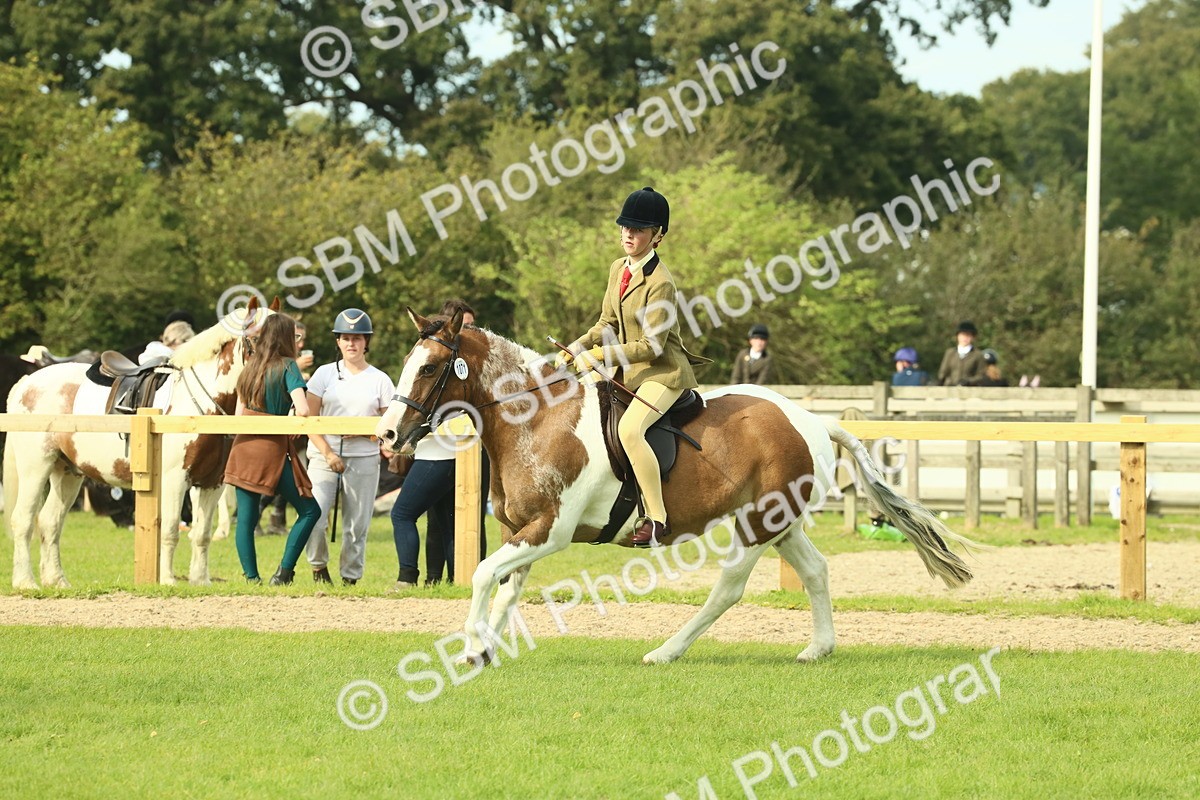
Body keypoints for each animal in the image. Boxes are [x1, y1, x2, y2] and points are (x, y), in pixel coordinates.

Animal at [4, 300, 276, 589]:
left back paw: (57, 581)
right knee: (23, 520)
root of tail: (27, 383)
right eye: (256, 337)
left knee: (50, 522)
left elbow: (201, 534)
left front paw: (200, 581)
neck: (200, 405)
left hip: (66, 472)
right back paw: (25, 581)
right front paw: (167, 580)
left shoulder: (212, 483)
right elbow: (170, 530)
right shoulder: (174, 480)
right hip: (35, 468)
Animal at [375, 309, 980, 664]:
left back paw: (666, 651)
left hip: (755, 525)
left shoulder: (551, 530)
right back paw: (818, 648)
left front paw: (472, 646)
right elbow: (505, 587)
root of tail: (810, 420)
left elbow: (481, 575)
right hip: (779, 522)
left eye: (428, 368)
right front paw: (485, 651)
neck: (537, 419)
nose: (388, 436)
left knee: (729, 588)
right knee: (815, 571)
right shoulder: (518, 529)